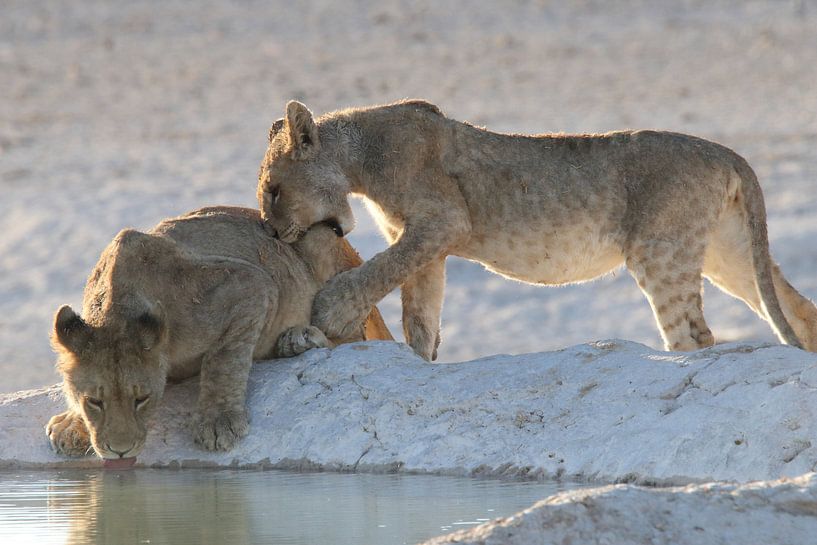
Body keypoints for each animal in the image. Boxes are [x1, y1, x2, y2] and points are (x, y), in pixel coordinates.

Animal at [46, 206, 393, 463]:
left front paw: (218, 423)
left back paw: (299, 339)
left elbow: (224, 361)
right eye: (94, 401)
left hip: (321, 238)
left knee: (352, 335)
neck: (117, 309)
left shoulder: (248, 284)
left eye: (141, 399)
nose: (120, 451)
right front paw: (70, 424)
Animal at [257, 99, 817, 360]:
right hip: (728, 249)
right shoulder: (424, 241)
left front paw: (329, 313)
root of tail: (724, 151)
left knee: (695, 335)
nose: (274, 235)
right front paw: (419, 362)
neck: (361, 156)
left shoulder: (441, 220)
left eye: (274, 191)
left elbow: (378, 271)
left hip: (663, 252)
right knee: (793, 308)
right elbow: (421, 315)